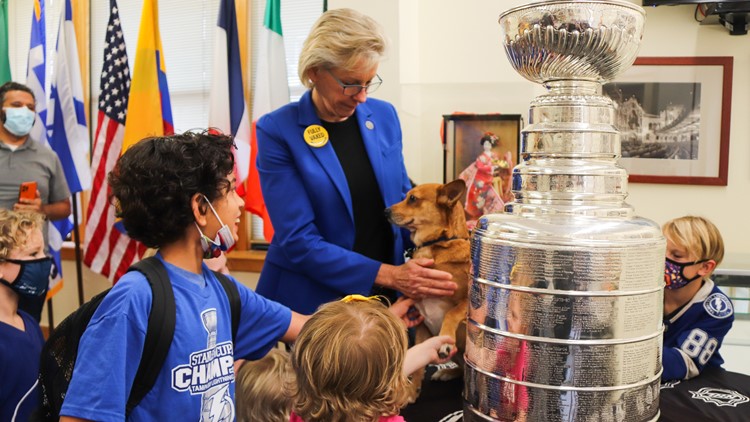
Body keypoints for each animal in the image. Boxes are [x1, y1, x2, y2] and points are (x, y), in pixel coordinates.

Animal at [388, 179, 470, 402]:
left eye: (413, 198)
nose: (385, 211)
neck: (437, 243)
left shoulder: (470, 302)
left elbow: (452, 312)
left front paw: (445, 341)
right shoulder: (422, 326)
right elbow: (418, 366)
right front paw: (412, 391)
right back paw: (447, 372)